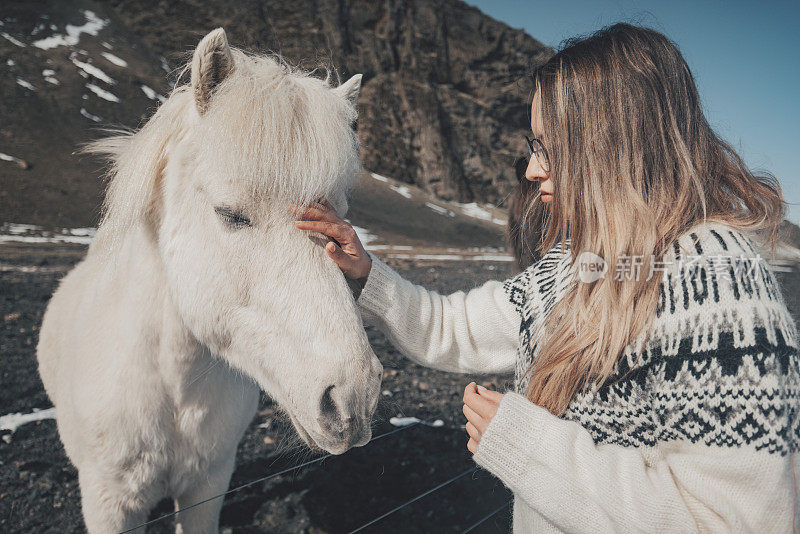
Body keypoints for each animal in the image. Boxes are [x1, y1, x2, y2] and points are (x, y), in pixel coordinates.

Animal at [38, 29, 384, 534]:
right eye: (230, 214)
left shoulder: (207, 486)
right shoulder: (109, 501)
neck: (174, 387)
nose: (353, 398)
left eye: (339, 223)